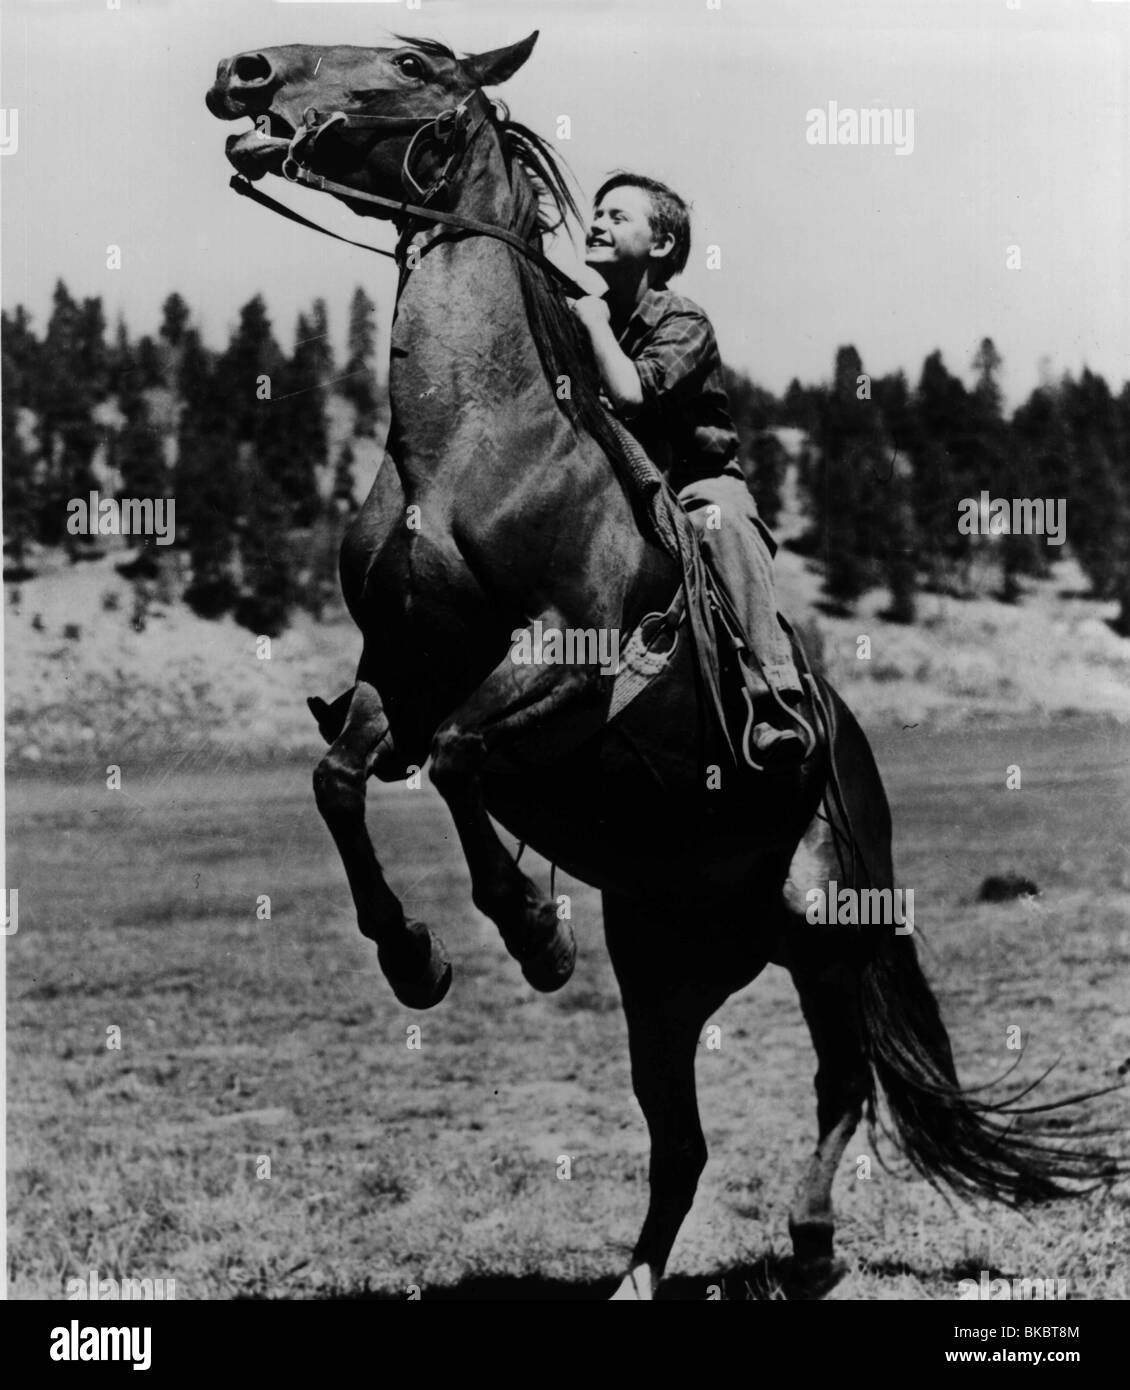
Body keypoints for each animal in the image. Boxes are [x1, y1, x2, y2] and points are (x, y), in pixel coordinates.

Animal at [204, 27, 1111, 1295]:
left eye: (412, 63)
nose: (244, 72)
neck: (473, 450)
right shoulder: (400, 671)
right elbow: (342, 779)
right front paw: (413, 958)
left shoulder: (571, 663)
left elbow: (459, 761)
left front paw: (533, 934)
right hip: (664, 975)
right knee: (678, 1136)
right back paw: (635, 1272)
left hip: (822, 929)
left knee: (842, 1080)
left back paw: (810, 1240)